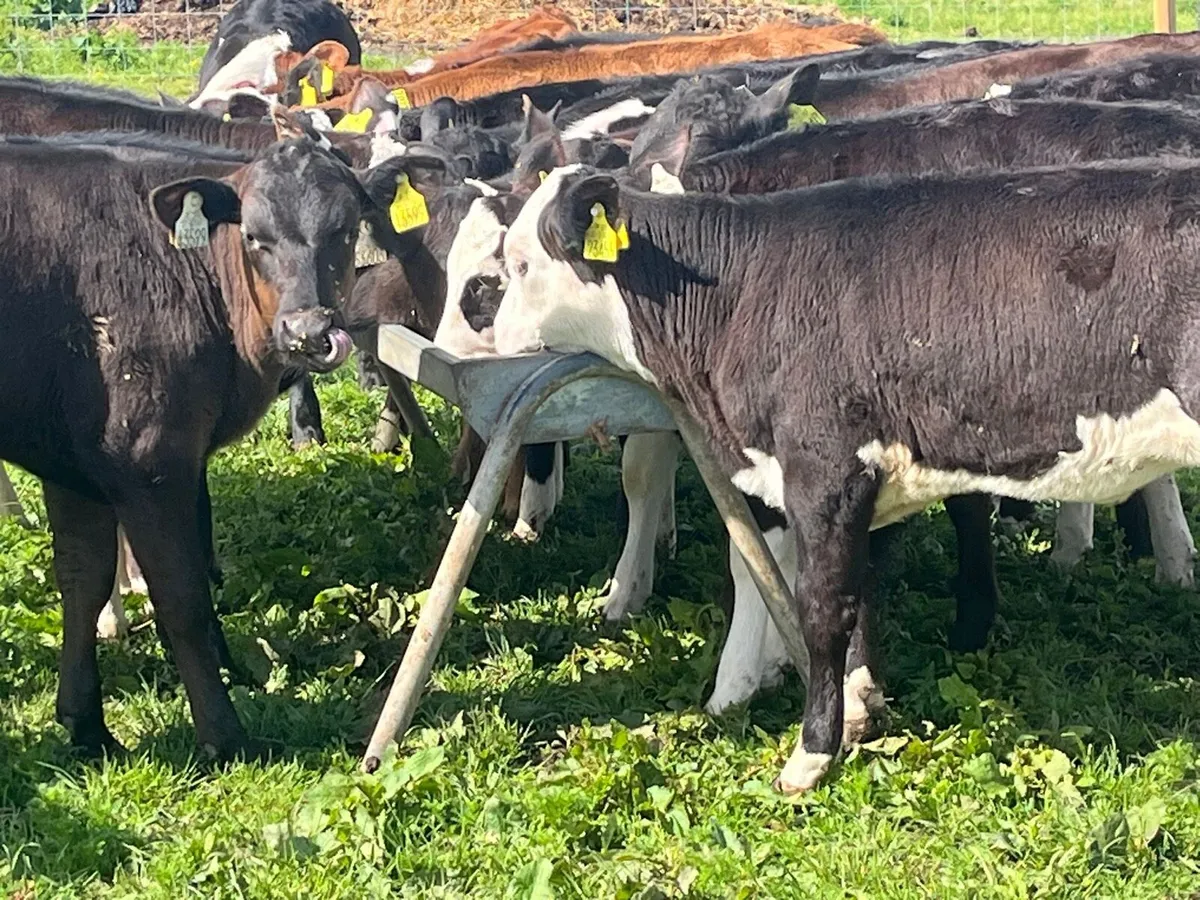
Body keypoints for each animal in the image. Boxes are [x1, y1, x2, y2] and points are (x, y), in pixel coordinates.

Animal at [0, 132, 413, 758]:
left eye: (344, 230)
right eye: (254, 236)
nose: (308, 333)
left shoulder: (74, 464)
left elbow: (83, 582)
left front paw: (88, 727)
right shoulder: (149, 460)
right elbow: (182, 598)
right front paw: (224, 735)